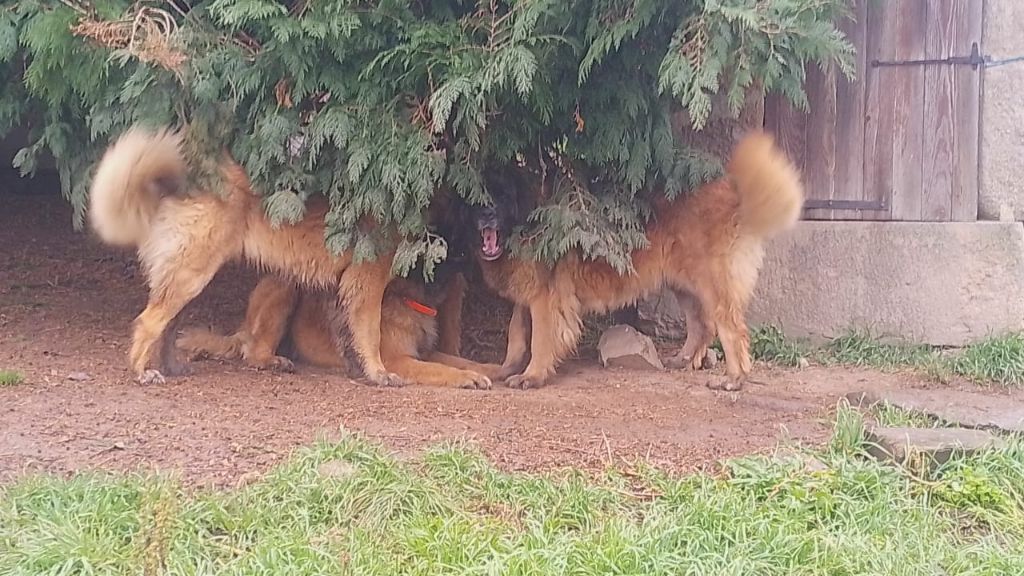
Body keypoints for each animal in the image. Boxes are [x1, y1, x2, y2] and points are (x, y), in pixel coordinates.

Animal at [468, 130, 802, 389]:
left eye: (502, 195)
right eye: (478, 197)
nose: (485, 214)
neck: (528, 217)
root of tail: (733, 190)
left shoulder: (546, 298)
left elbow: (540, 339)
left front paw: (533, 376)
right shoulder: (528, 295)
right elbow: (516, 334)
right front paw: (505, 369)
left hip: (711, 281)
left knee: (731, 327)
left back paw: (734, 379)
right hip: (684, 283)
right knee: (702, 324)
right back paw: (684, 359)